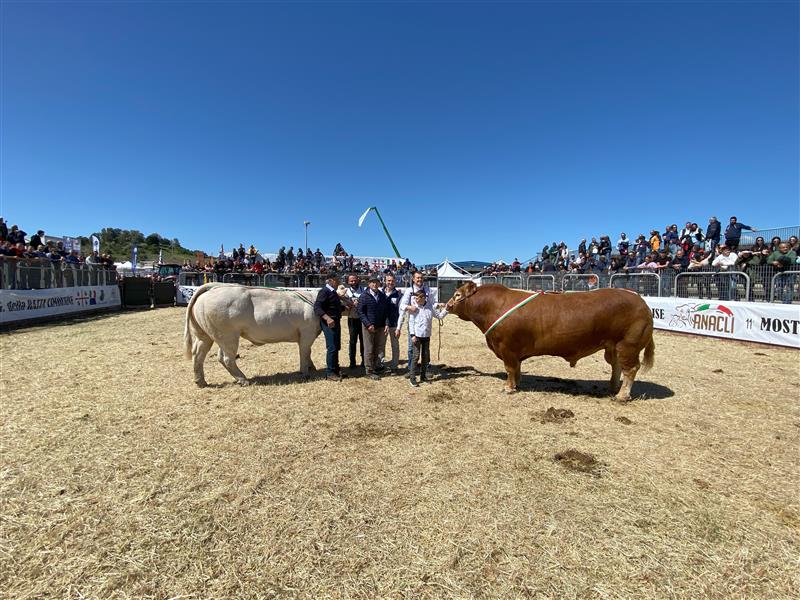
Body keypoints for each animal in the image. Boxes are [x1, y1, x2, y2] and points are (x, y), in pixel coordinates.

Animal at [184, 284, 328, 386]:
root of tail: (211, 289)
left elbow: (307, 352)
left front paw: (312, 368)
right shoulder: (307, 333)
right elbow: (304, 352)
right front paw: (305, 373)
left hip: (204, 335)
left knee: (199, 354)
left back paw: (200, 381)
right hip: (228, 336)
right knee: (226, 358)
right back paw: (243, 380)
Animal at [446, 284, 652, 400]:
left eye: (457, 295)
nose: (446, 305)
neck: (493, 306)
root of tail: (641, 302)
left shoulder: (507, 347)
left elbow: (510, 368)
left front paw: (508, 388)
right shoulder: (514, 351)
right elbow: (517, 368)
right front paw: (517, 383)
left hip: (628, 345)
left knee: (630, 369)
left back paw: (622, 396)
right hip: (613, 346)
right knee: (617, 366)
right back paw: (613, 388)